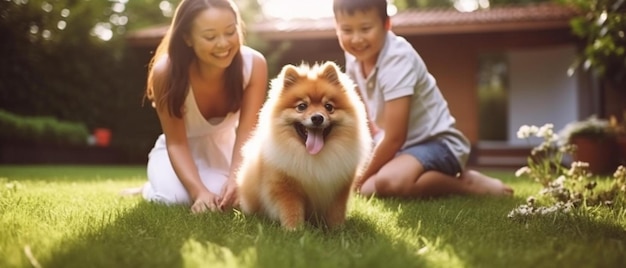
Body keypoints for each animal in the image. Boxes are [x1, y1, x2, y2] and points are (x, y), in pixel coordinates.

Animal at [234, 61, 370, 230]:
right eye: (302, 106)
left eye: (329, 107)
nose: (317, 118)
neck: (313, 157)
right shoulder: (285, 187)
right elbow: (292, 209)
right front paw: (294, 230)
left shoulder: (339, 188)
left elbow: (336, 211)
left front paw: (337, 230)